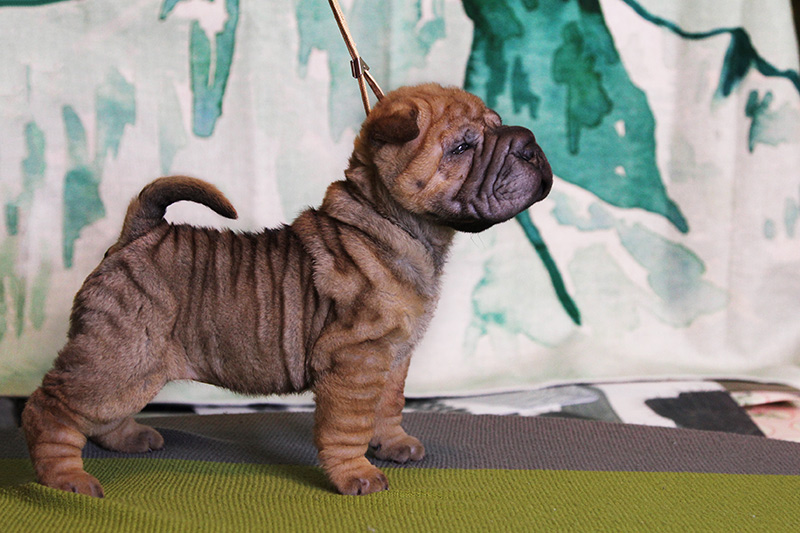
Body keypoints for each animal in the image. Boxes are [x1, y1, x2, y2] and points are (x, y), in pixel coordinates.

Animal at [21, 83, 553, 497]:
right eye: (463, 147)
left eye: (498, 124)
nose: (529, 143)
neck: (396, 227)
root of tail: (138, 234)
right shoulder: (355, 359)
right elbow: (349, 425)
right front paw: (357, 475)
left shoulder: (394, 355)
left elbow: (388, 406)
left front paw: (393, 444)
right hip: (118, 354)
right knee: (48, 408)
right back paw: (66, 480)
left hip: (132, 364)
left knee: (98, 413)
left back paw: (129, 438)